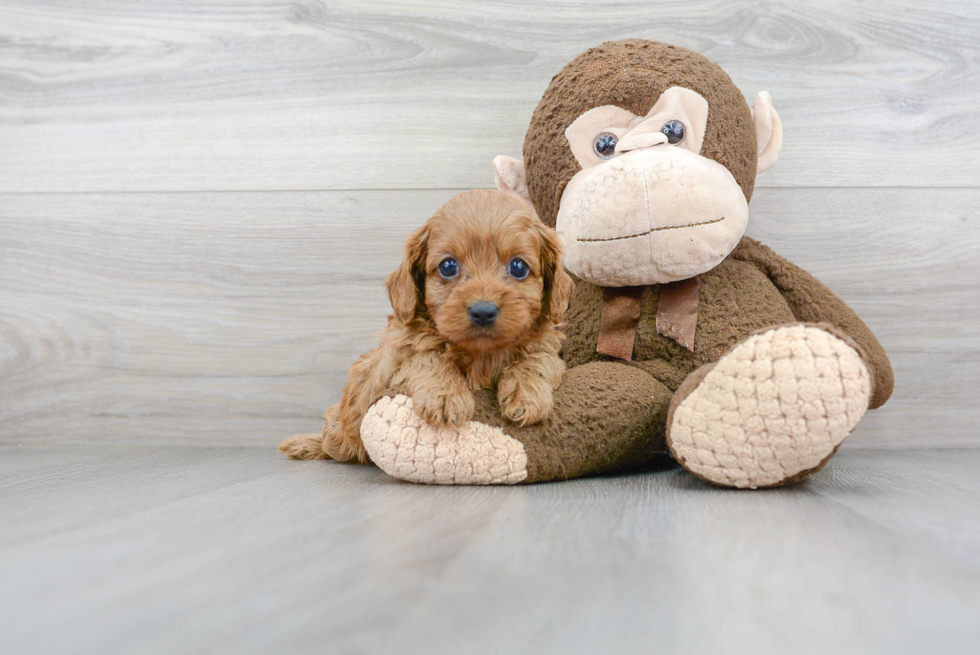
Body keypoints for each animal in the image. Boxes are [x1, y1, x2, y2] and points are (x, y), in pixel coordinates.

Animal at [278, 190, 576, 464]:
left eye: (518, 267)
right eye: (448, 266)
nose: (483, 311)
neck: (480, 353)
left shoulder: (546, 348)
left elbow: (538, 359)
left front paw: (527, 394)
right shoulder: (389, 366)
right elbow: (426, 356)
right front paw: (446, 397)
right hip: (341, 429)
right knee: (331, 443)